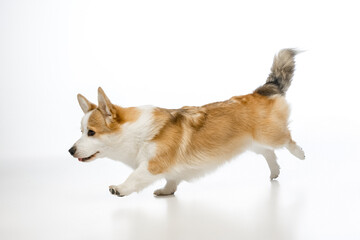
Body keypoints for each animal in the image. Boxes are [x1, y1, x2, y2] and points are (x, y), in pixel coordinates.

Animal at [67, 48, 304, 197]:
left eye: (91, 132)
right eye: (81, 131)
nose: (70, 151)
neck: (134, 133)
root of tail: (260, 91)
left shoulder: (153, 165)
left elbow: (135, 177)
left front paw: (120, 188)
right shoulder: (168, 169)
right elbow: (172, 180)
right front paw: (166, 192)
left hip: (270, 135)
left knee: (286, 140)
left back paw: (299, 153)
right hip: (251, 143)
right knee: (269, 153)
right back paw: (274, 172)